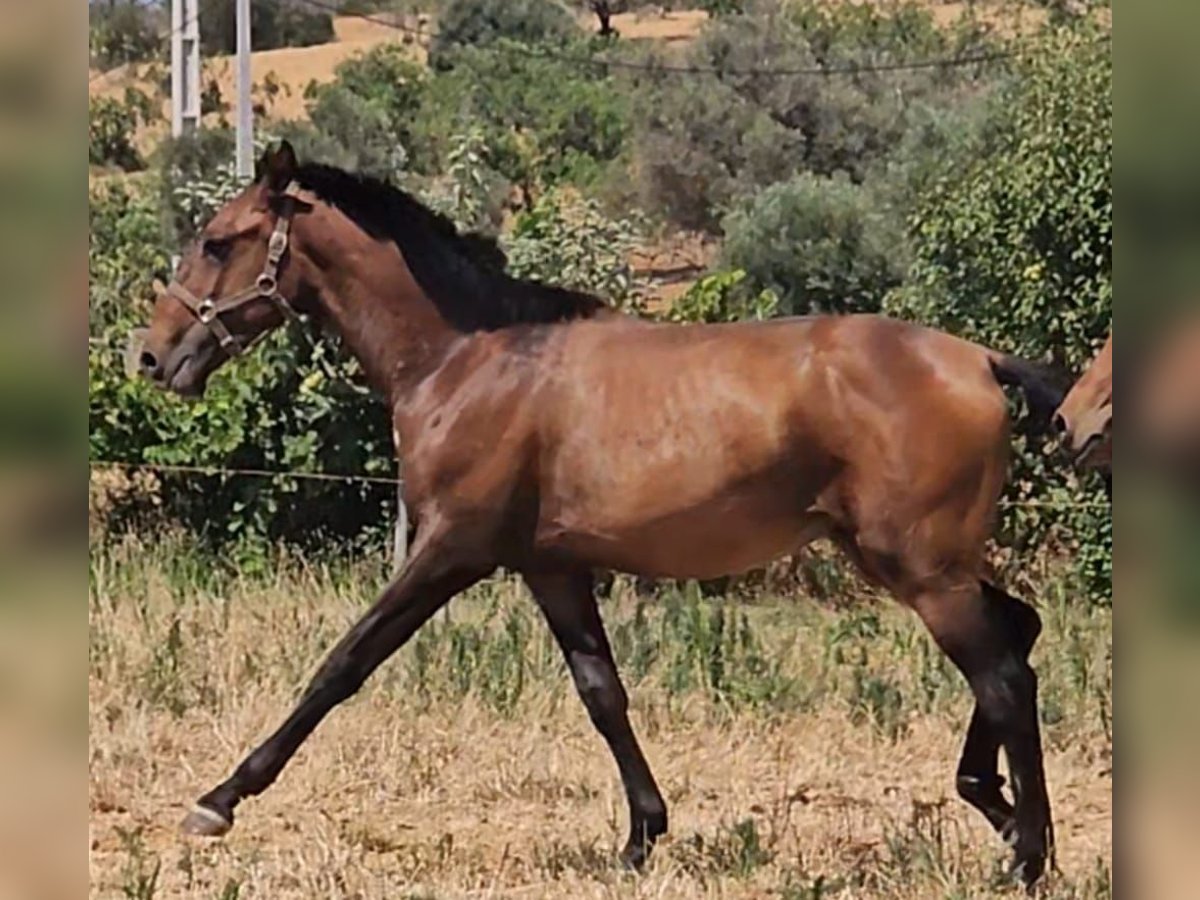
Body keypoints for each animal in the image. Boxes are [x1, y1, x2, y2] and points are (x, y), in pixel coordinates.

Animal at [136, 142, 1065, 888]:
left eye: (218, 240)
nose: (153, 355)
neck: (467, 359)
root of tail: (980, 362)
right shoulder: (551, 566)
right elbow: (602, 692)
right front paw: (641, 838)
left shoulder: (451, 551)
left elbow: (342, 665)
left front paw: (218, 800)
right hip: (920, 560)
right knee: (1021, 631)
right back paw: (996, 807)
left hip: (918, 567)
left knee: (1004, 674)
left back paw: (1026, 855)